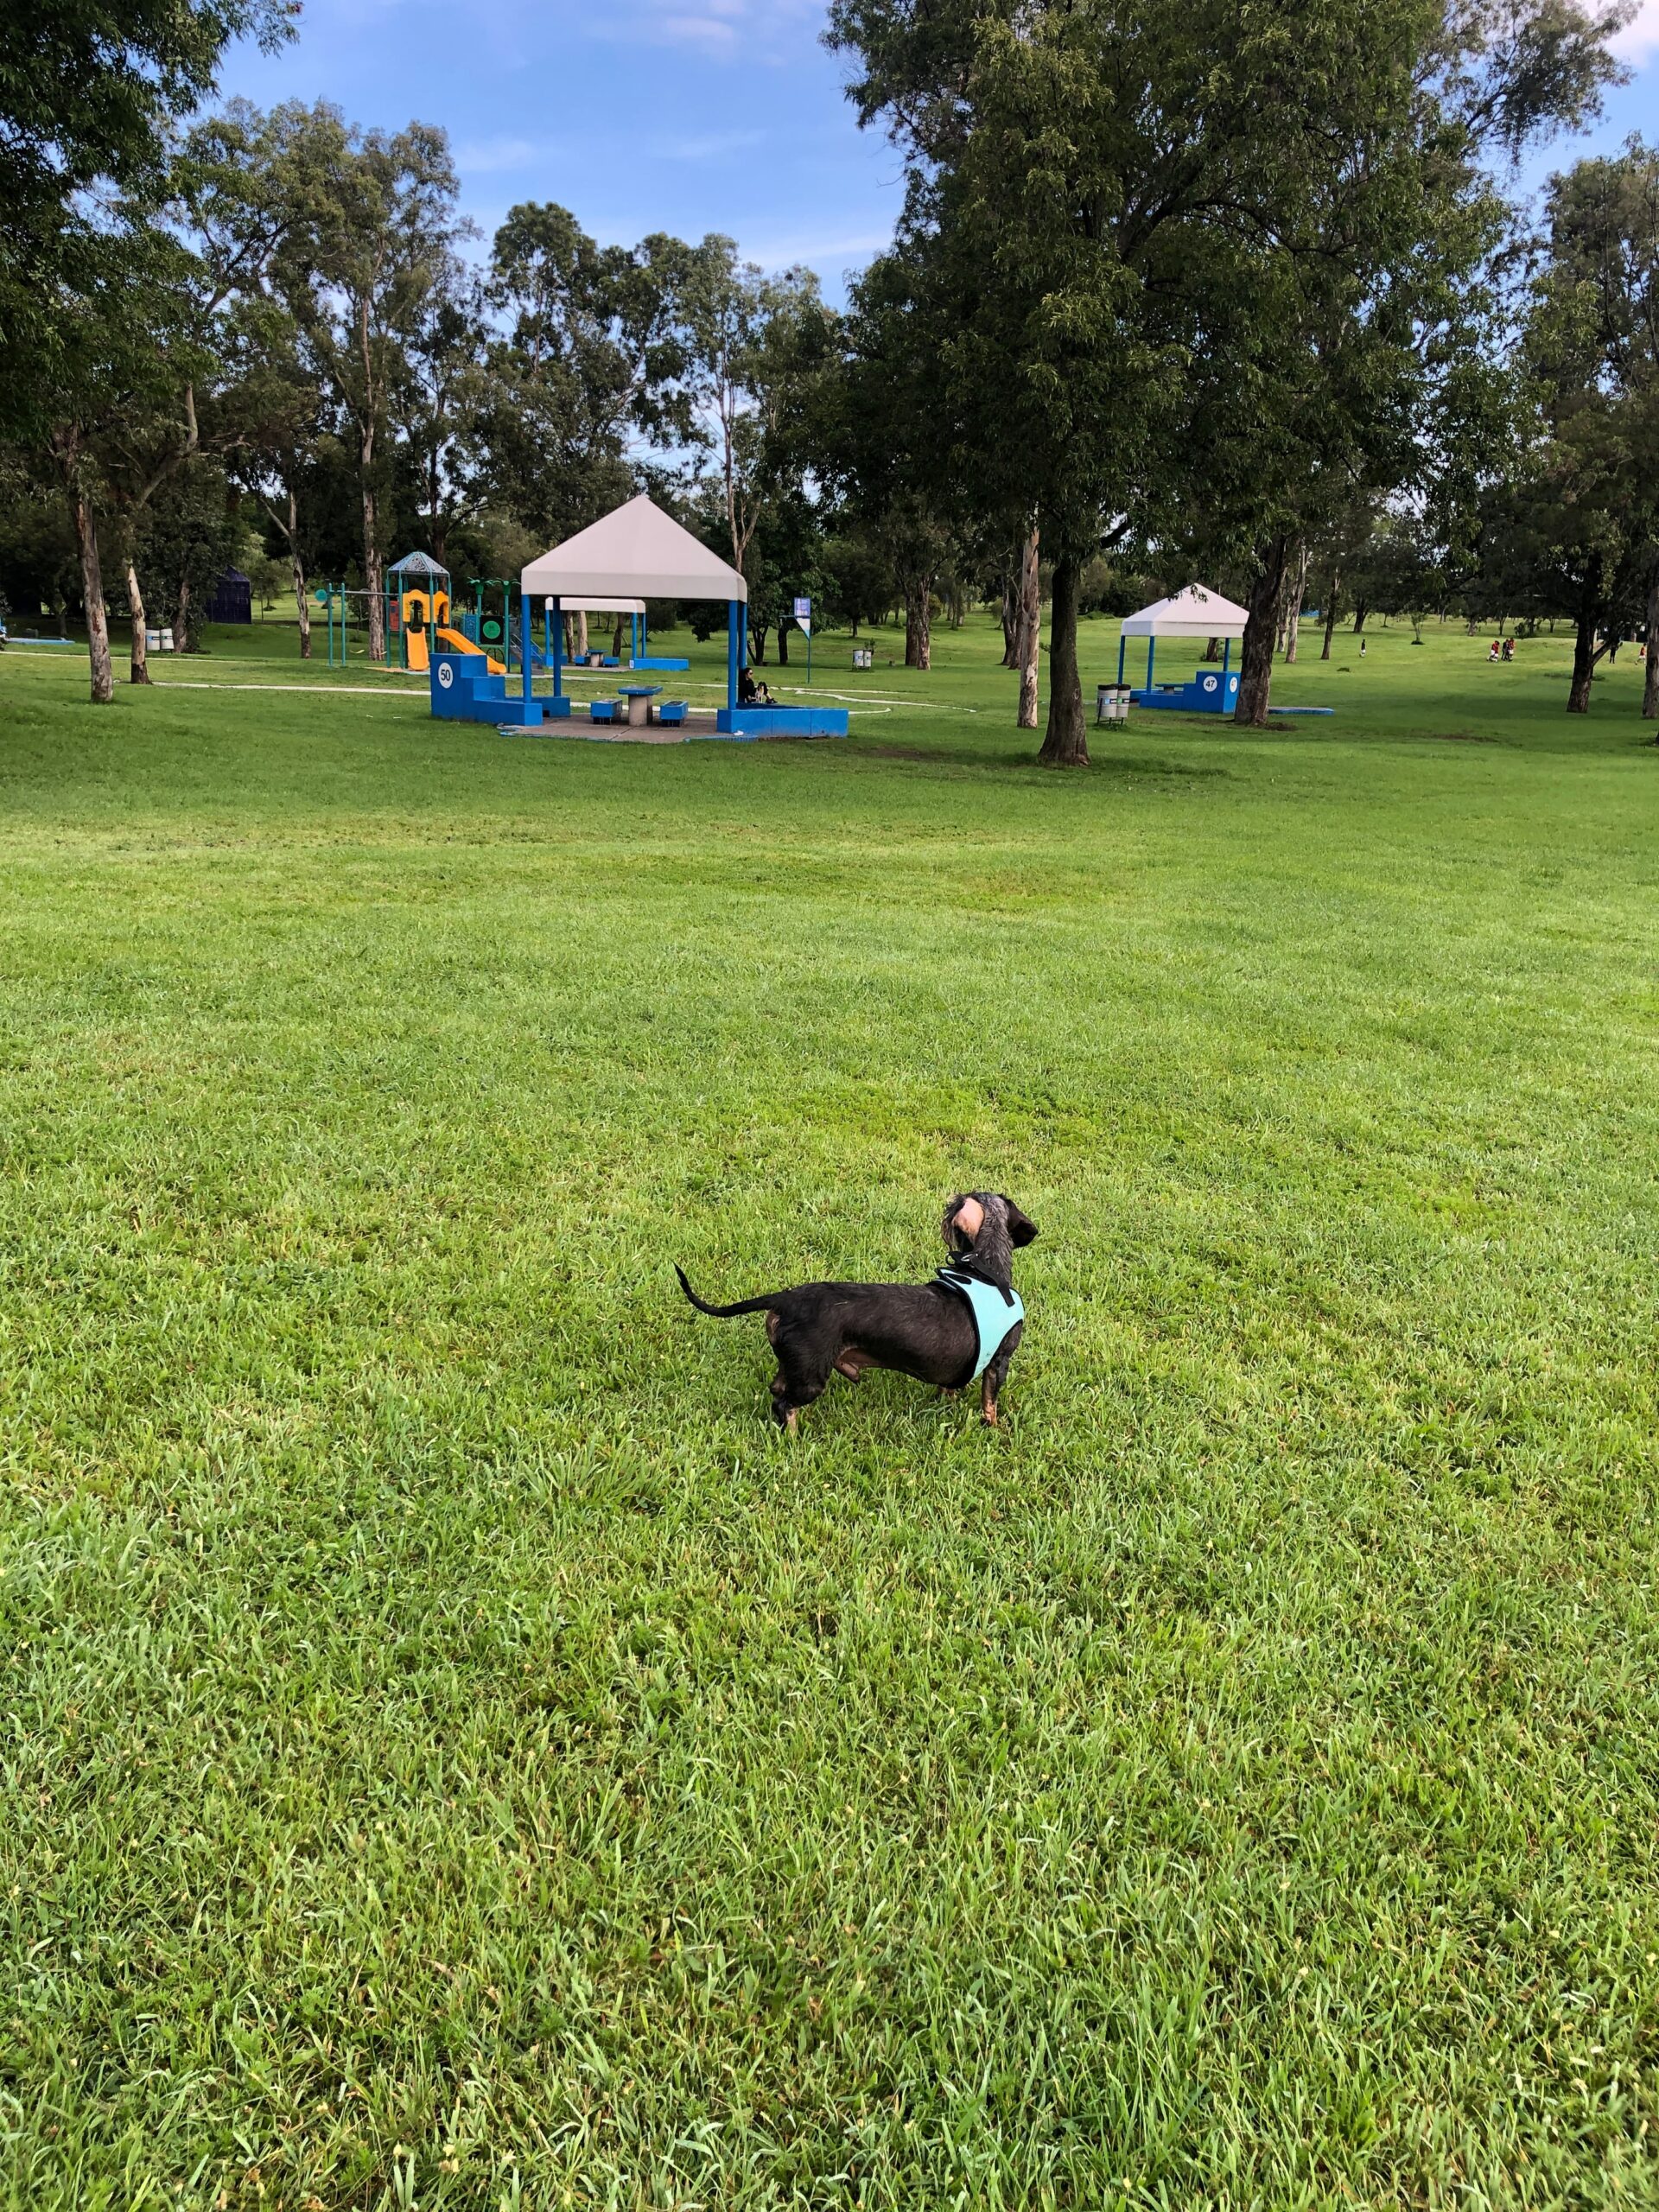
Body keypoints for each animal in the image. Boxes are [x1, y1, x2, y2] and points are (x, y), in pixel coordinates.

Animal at [677, 1194, 1039, 1433]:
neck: (986, 1273)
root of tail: (787, 1299)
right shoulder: (1000, 1360)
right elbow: (990, 1400)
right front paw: (992, 1427)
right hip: (811, 1376)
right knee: (784, 1405)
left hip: (796, 1365)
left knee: (777, 1392)